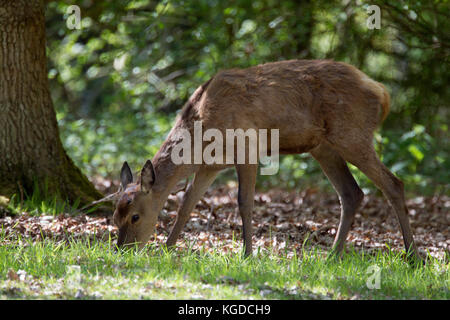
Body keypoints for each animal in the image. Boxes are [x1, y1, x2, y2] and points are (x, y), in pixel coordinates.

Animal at [111, 58, 418, 260]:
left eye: (135, 216)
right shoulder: (210, 166)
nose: (122, 250)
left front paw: (247, 254)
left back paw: (412, 256)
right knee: (352, 192)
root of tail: (382, 92)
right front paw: (167, 248)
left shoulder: (248, 148)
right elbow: (187, 203)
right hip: (323, 147)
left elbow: (244, 202)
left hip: (352, 134)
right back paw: (332, 256)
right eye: (115, 215)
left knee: (393, 184)